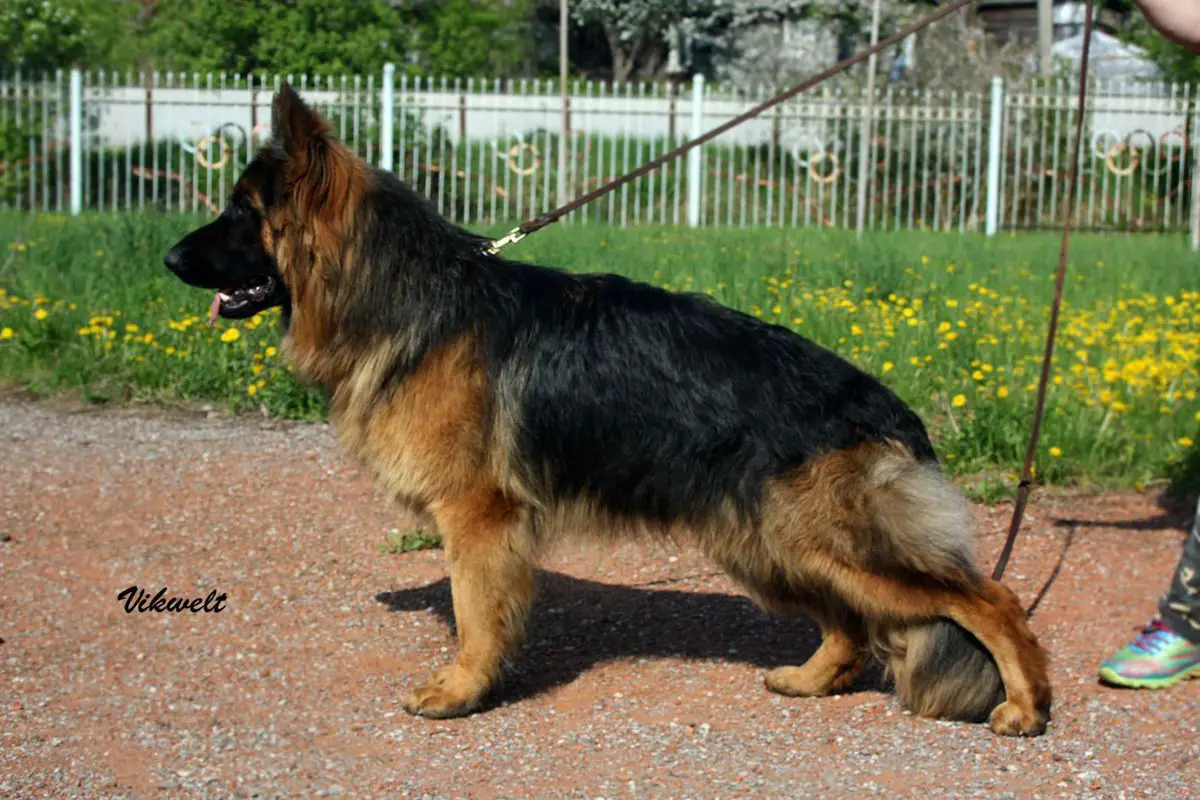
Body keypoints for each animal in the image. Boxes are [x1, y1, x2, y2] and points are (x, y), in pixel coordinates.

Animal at [166, 87, 1051, 738]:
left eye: (241, 211)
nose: (168, 256)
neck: (406, 296)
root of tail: (892, 410)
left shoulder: (478, 517)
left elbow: (474, 615)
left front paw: (461, 691)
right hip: (776, 544)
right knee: (853, 626)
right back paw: (810, 679)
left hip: (828, 546)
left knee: (989, 601)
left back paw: (1025, 706)